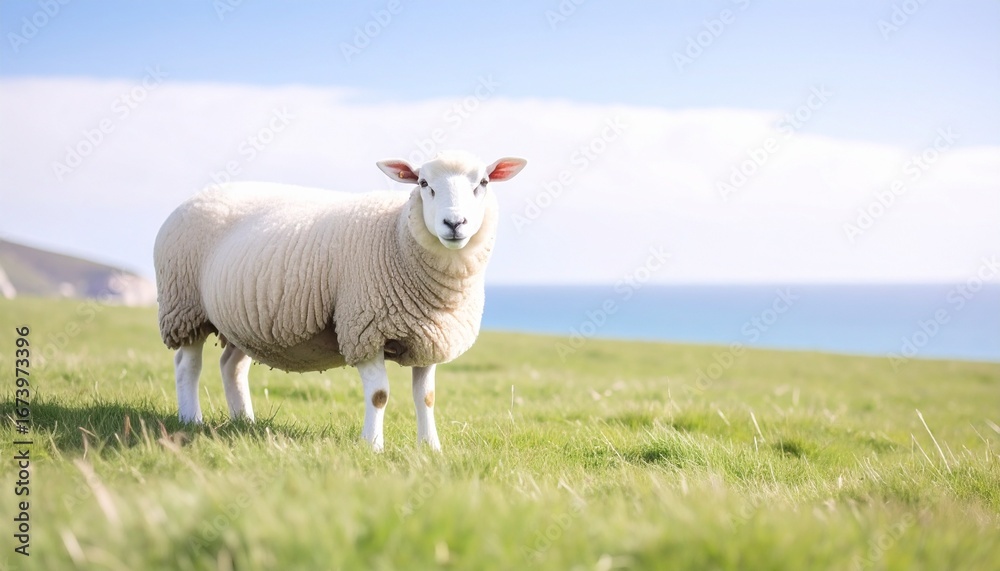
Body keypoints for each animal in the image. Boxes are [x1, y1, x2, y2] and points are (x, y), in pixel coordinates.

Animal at [154, 151, 527, 450]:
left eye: (483, 182)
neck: (395, 235)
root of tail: (197, 197)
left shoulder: (430, 337)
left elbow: (427, 398)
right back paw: (191, 420)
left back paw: (244, 422)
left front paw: (431, 448)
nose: (454, 223)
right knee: (188, 366)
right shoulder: (364, 329)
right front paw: (373, 446)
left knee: (231, 366)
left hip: (243, 318)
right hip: (184, 307)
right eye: (423, 183)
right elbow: (379, 396)